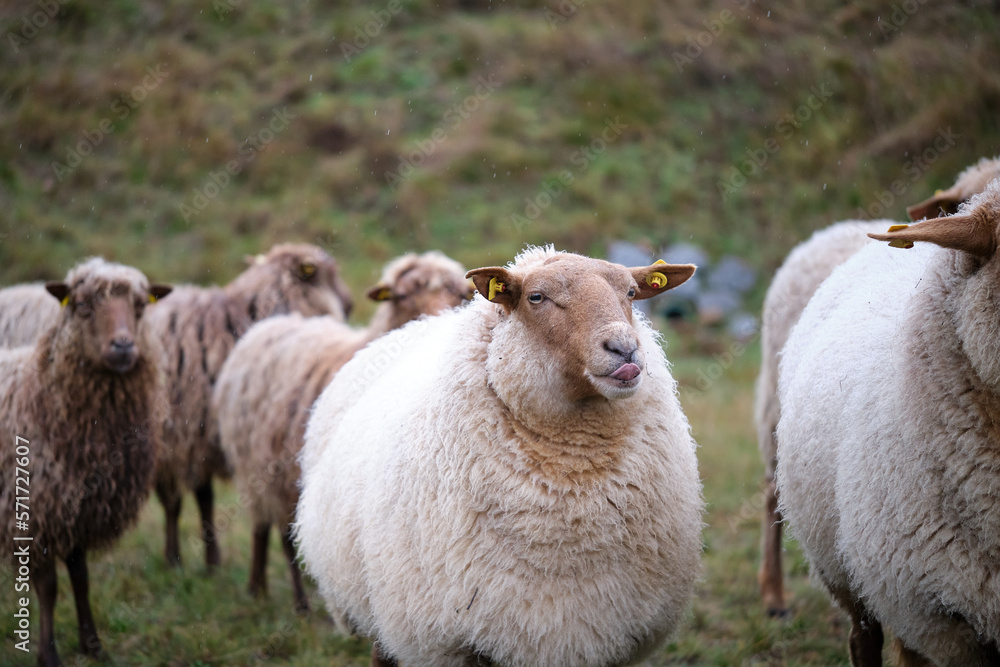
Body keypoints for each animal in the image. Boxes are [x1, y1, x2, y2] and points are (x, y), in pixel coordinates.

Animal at [0, 258, 171, 667]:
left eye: (140, 307)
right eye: (82, 306)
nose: (123, 345)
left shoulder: (79, 508)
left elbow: (81, 575)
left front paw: (92, 644)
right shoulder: (34, 510)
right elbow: (48, 587)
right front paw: (48, 655)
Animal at [143, 243, 353, 568]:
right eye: (327, 275)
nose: (352, 303)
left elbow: (205, 496)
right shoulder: (195, 436)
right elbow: (202, 496)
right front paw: (211, 559)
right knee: (172, 499)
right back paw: (174, 557)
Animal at [212, 251, 470, 612]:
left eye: (460, 294)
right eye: (402, 296)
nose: (438, 318)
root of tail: (277, 322)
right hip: (263, 467)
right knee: (268, 530)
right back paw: (274, 594)